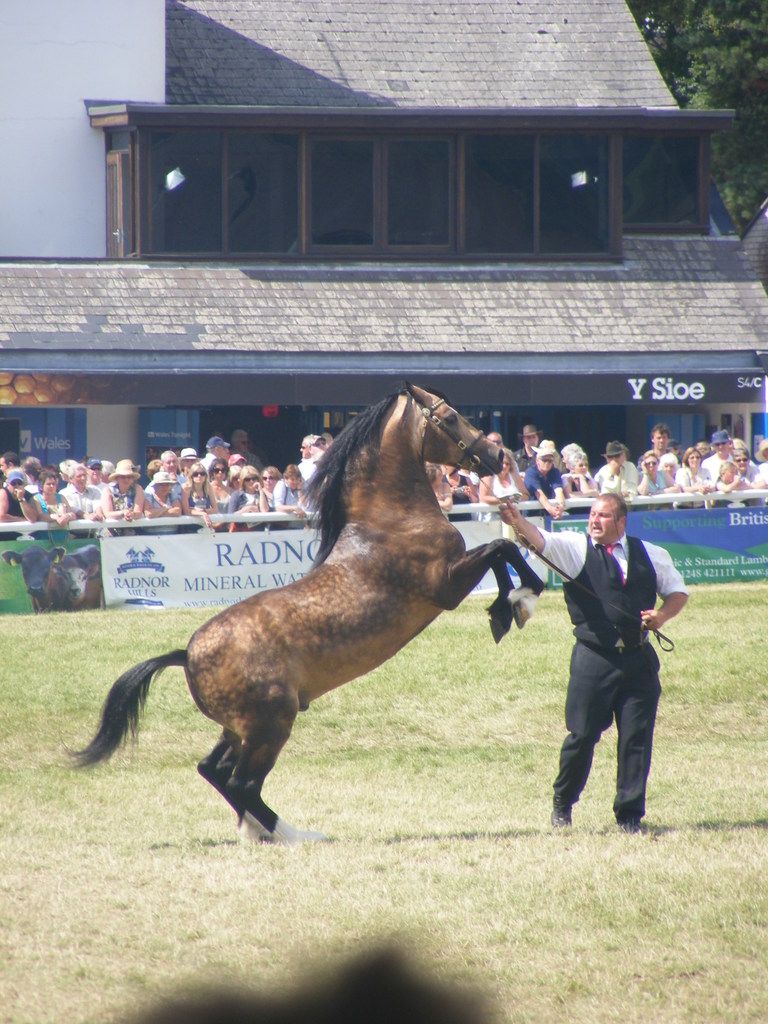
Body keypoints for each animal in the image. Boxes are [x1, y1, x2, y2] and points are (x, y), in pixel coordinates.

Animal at [73, 380, 540, 843]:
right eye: (449, 417)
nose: (500, 457)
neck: (390, 520)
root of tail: (187, 654)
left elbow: (504, 551)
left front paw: (511, 605)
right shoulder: (446, 585)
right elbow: (503, 548)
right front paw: (518, 604)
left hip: (240, 728)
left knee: (215, 771)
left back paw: (260, 831)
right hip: (271, 724)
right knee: (243, 782)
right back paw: (295, 835)